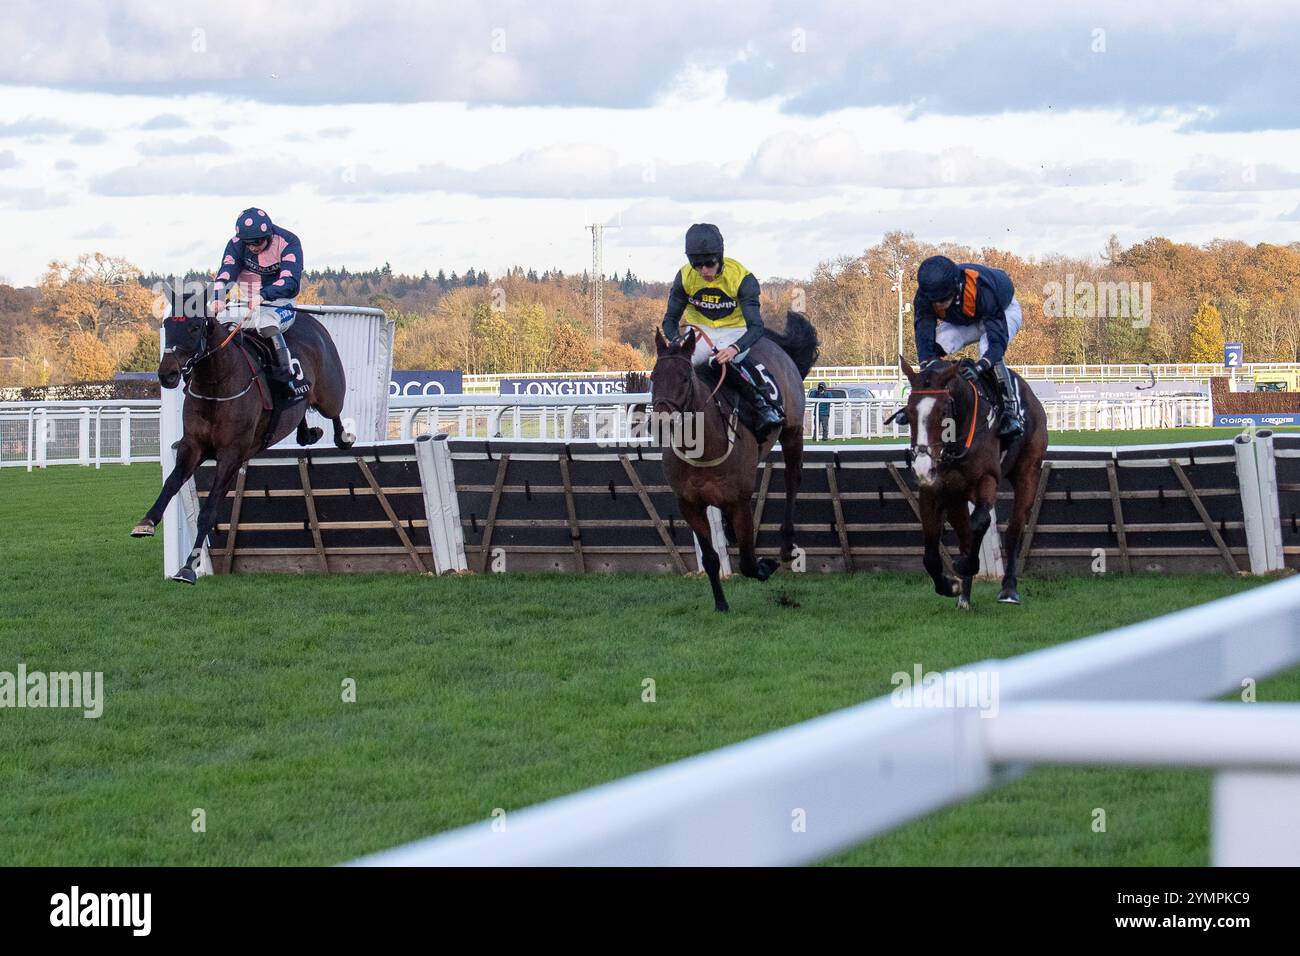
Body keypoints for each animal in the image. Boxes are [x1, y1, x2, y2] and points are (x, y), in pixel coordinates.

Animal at [132, 306, 356, 582]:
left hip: (329, 395)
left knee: (335, 412)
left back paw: (343, 437)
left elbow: (208, 511)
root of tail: (313, 323)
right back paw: (309, 433)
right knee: (301, 415)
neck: (217, 385)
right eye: (167, 324)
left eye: (194, 327)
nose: (168, 374)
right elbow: (172, 483)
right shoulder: (193, 445)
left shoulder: (231, 454)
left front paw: (188, 567)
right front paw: (146, 522)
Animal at [655, 314, 816, 613]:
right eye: (653, 377)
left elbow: (749, 562)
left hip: (793, 430)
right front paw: (720, 603)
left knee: (792, 478)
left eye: (685, 378)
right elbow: (710, 559)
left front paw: (766, 565)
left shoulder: (740, 502)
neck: (702, 450)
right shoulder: (689, 504)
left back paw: (786, 546)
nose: (661, 422)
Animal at [899, 356, 1050, 608]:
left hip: (1028, 472)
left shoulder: (987, 479)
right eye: (909, 412)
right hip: (957, 496)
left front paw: (964, 565)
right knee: (964, 532)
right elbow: (931, 553)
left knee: (1013, 529)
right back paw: (964, 597)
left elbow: (979, 522)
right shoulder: (933, 490)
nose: (922, 467)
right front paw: (950, 585)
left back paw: (1009, 588)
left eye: (943, 412)